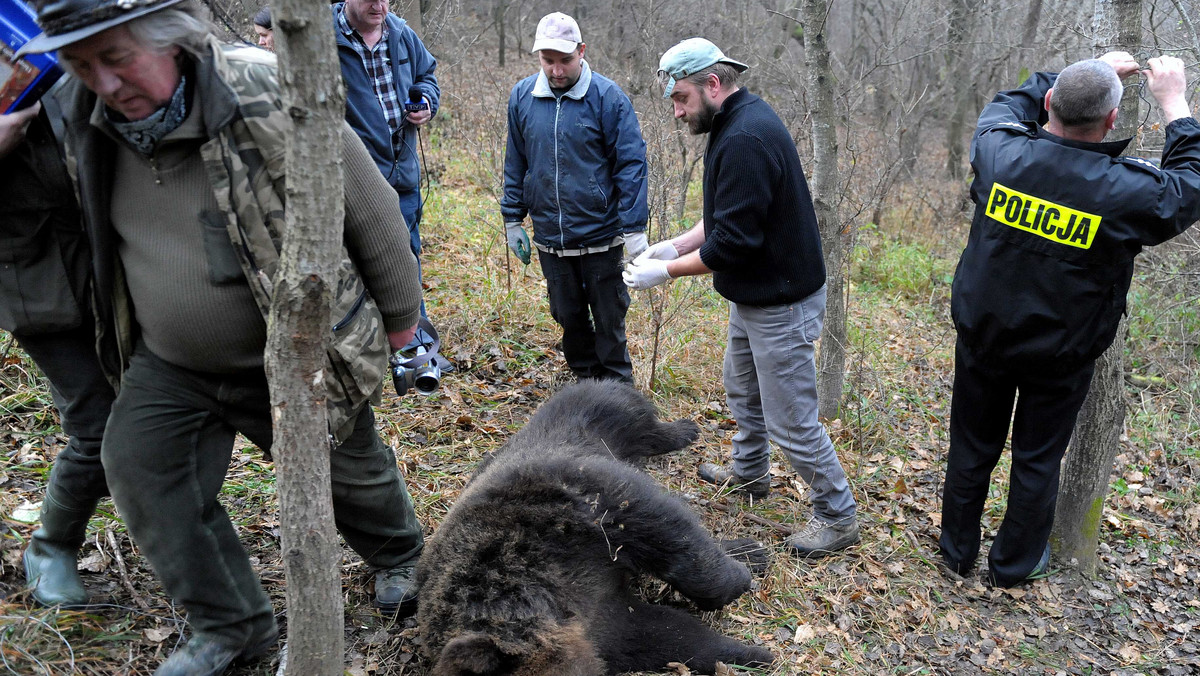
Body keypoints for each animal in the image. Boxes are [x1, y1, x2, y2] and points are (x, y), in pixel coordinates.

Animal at [420, 381, 777, 676]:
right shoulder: (600, 619)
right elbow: (668, 635)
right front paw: (750, 654)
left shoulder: (571, 505)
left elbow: (667, 532)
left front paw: (738, 581)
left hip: (595, 415)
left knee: (636, 415)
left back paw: (684, 430)